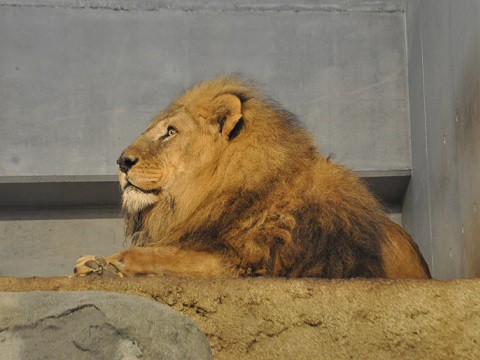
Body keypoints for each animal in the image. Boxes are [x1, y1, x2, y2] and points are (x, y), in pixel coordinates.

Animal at [71, 75, 432, 278]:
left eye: (170, 132)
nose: (122, 162)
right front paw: (95, 263)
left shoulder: (255, 260)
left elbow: (169, 257)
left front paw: (110, 265)